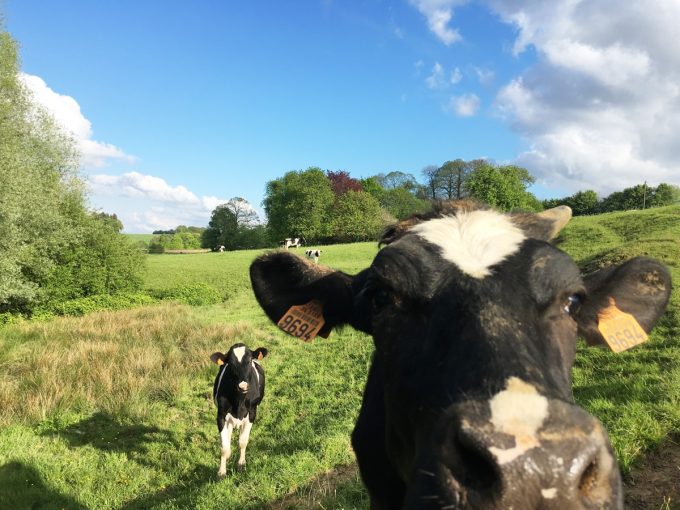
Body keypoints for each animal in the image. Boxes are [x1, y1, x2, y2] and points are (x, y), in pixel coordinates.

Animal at [210, 343, 268, 475]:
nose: (243, 386)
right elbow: (224, 447)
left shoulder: (252, 413)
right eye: (230, 364)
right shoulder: (221, 415)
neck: (239, 402)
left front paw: (241, 464)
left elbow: (242, 441)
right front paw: (222, 471)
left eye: (250, 360)